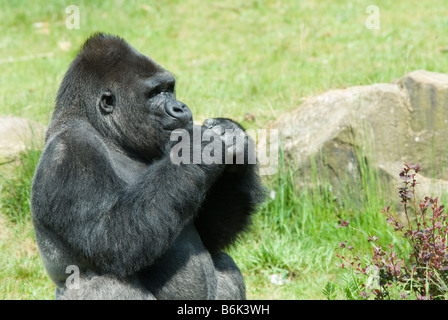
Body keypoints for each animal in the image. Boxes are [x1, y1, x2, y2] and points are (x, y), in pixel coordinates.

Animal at [31, 33, 266, 300]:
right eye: (154, 94)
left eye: (169, 88)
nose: (180, 107)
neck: (108, 134)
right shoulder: (70, 152)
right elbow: (107, 239)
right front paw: (198, 146)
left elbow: (211, 235)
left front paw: (234, 140)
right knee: (106, 283)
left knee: (224, 262)